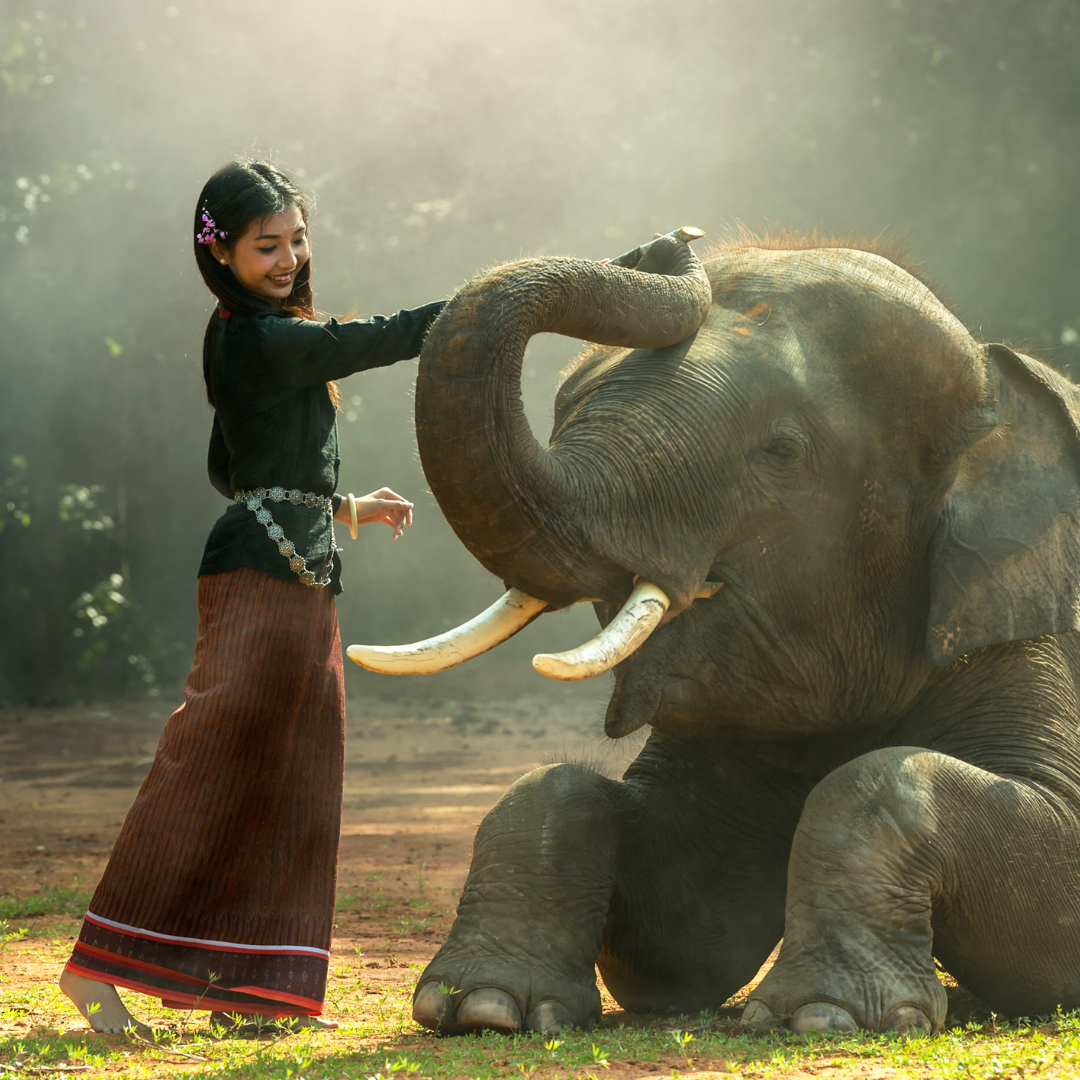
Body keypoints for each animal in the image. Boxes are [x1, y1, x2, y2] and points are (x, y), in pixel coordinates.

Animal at [347, 232, 1080, 1032]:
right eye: (565, 409)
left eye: (782, 451)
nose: (669, 242)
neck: (994, 384)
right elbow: (682, 937)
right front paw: (482, 1007)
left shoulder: (1018, 614)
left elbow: (1049, 876)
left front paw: (823, 1016)